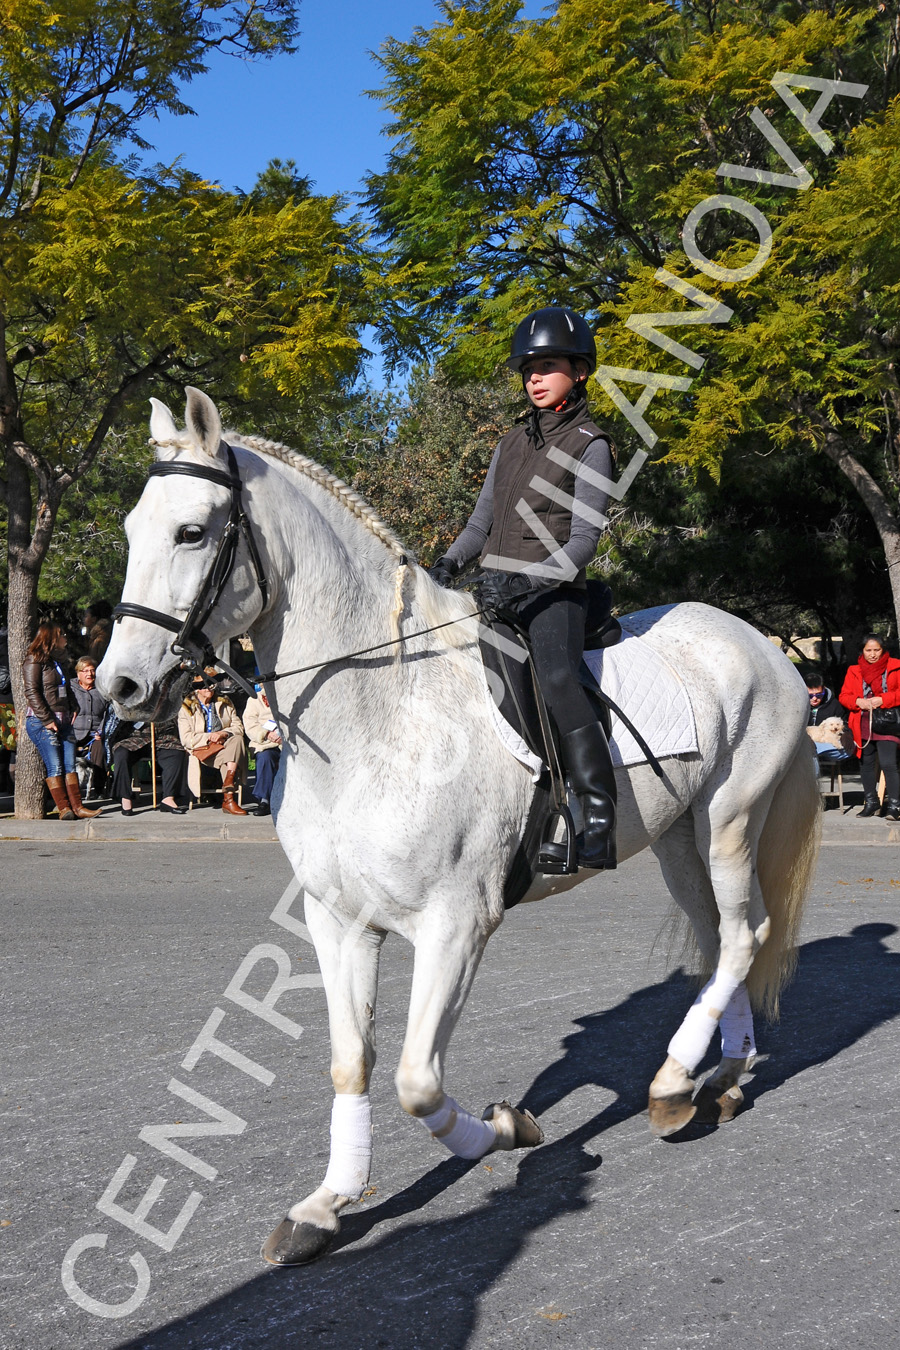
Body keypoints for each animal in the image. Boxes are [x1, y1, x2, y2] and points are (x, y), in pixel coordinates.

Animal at [98, 388, 825, 1263]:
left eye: (192, 532)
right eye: (133, 528)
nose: (118, 687)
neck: (382, 713)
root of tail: (760, 642)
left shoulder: (455, 925)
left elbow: (416, 1081)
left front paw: (505, 1132)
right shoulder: (338, 920)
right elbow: (352, 1062)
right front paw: (326, 1205)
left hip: (729, 821)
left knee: (747, 935)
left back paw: (671, 1082)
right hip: (680, 841)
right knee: (724, 939)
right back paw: (718, 1079)